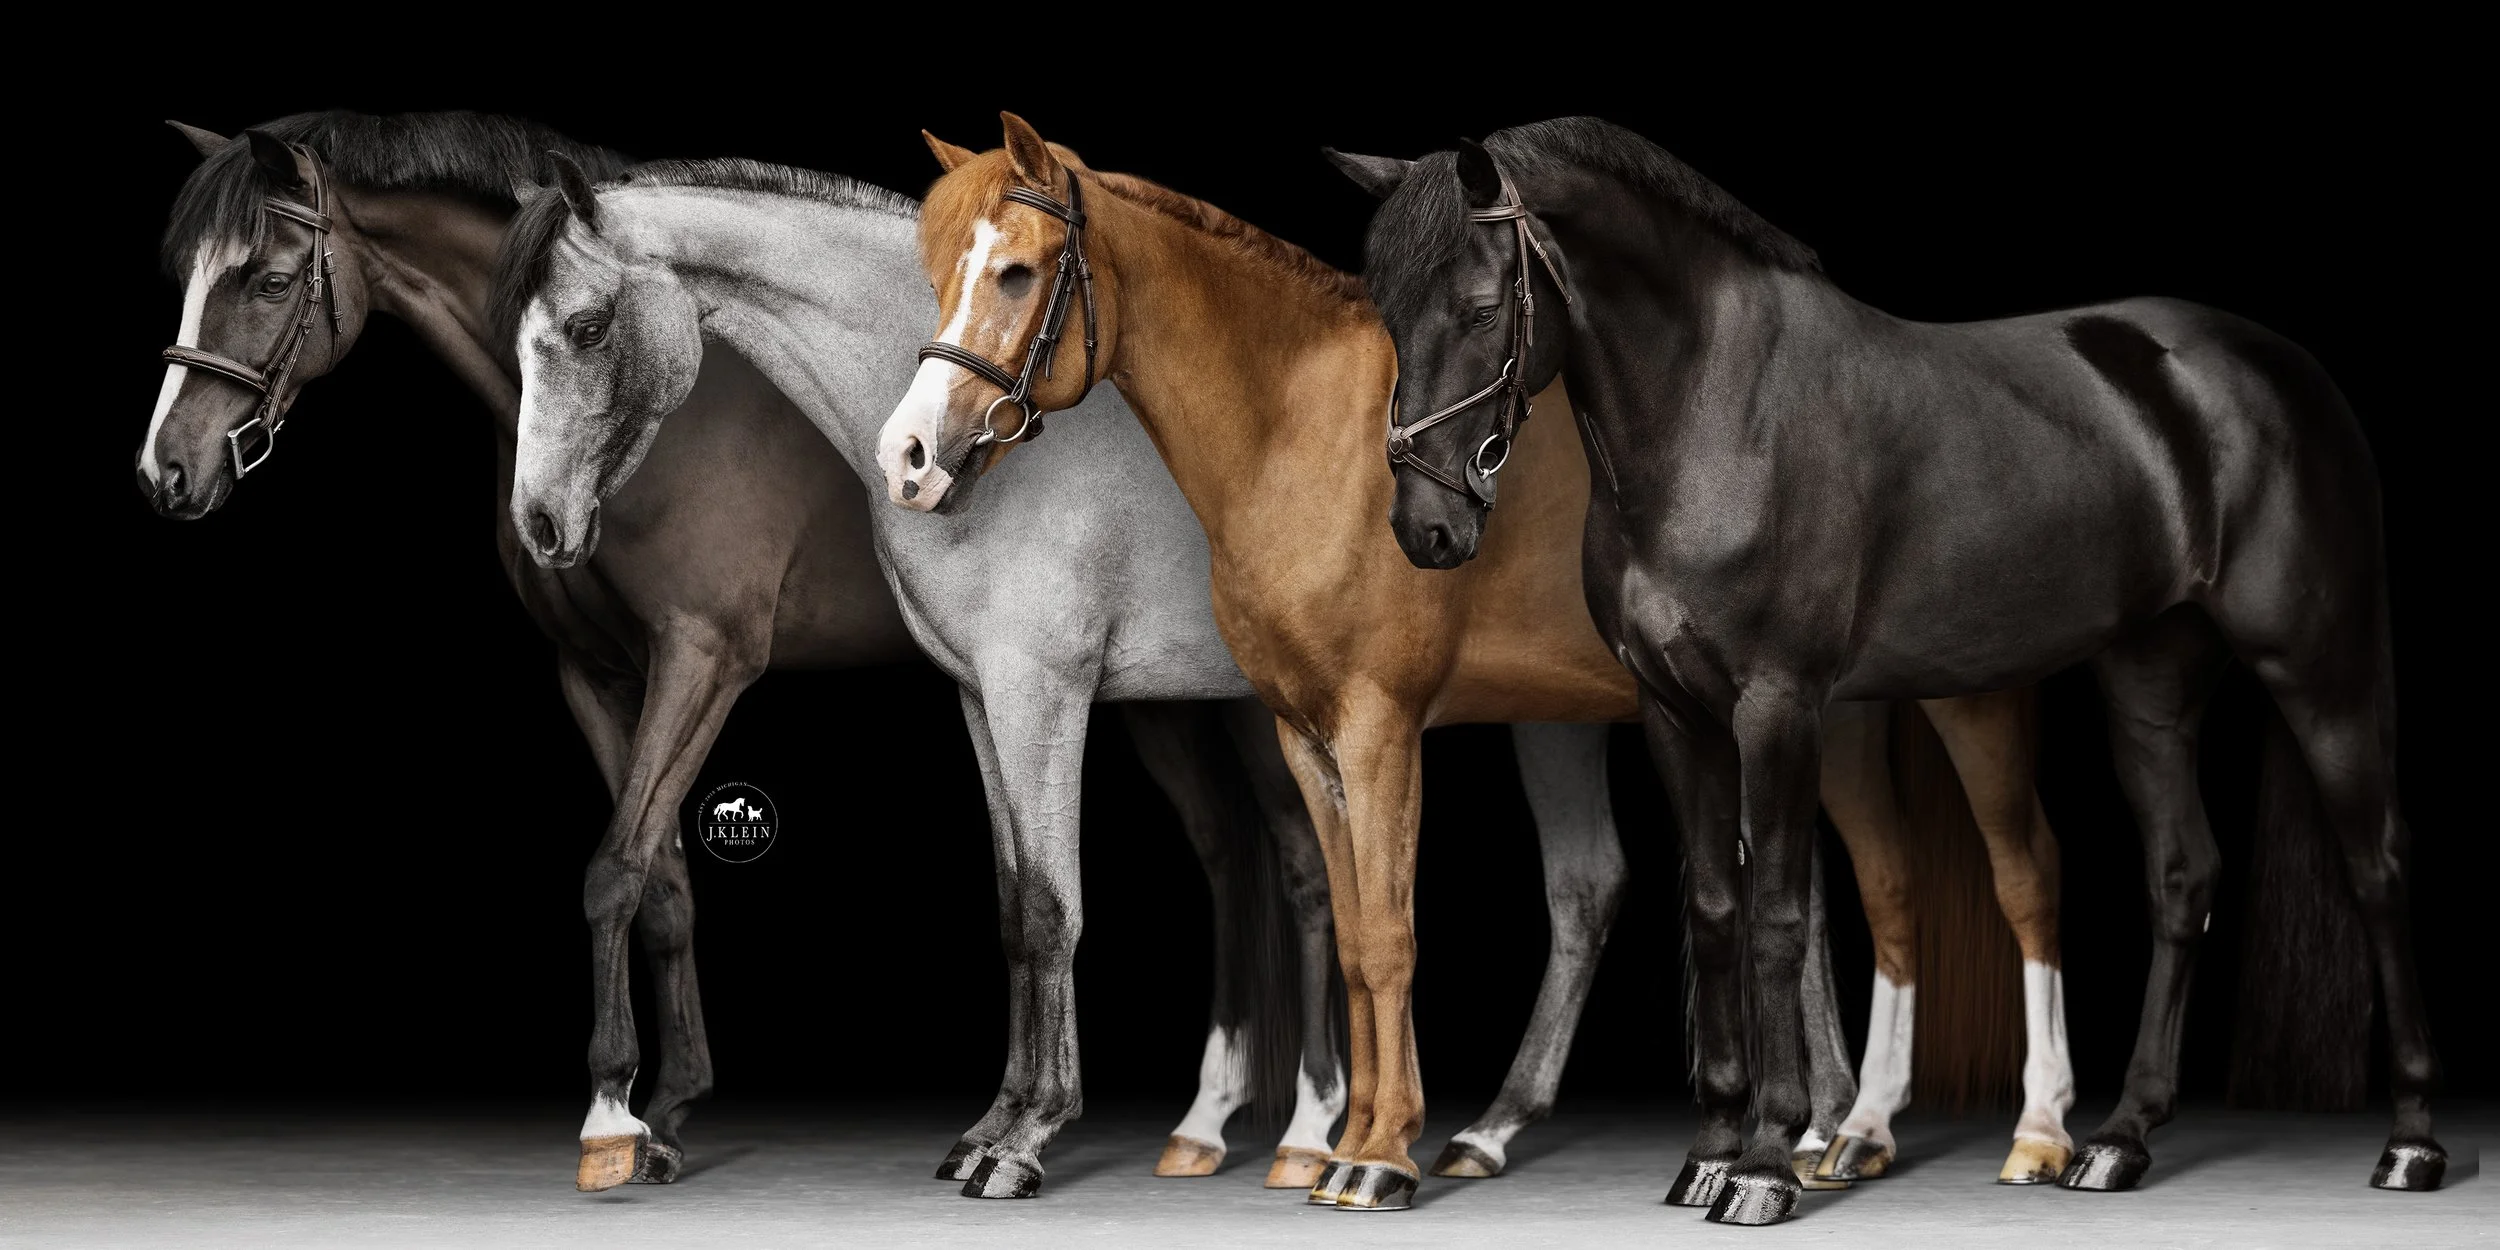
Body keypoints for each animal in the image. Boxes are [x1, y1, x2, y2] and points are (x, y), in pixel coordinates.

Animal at [138, 111, 1308, 1198]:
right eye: (188, 280)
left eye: (270, 278)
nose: (166, 471)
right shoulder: (597, 676)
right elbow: (660, 879)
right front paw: (665, 1104)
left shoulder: (708, 658)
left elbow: (613, 868)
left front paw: (611, 1119)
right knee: (1235, 854)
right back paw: (1218, 1125)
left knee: (1281, 857)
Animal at [487, 148, 1679, 1200]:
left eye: (586, 329)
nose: (541, 524)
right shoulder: (983, 697)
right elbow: (1018, 902)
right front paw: (993, 1123)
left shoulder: (1042, 693)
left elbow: (1055, 907)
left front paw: (1024, 1141)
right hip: (1537, 717)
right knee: (1564, 887)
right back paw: (1435, 1134)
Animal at [877, 114, 2078, 1209]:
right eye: (937, 273)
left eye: (1018, 271)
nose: (912, 457)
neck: (1295, 438)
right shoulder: (1304, 735)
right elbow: (1353, 934)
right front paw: (1346, 1143)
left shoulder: (1379, 729)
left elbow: (1389, 934)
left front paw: (1373, 1155)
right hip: (1819, 721)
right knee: (1842, 887)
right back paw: (1818, 1133)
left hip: (1935, 707)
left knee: (2000, 877)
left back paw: (1991, 1134)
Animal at [1337, 117, 2442, 1223]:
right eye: (1387, 311)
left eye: (1482, 308)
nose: (1426, 529)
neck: (1719, 412)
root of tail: (2281, 369)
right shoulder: (1673, 712)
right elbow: (1715, 908)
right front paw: (1709, 1152)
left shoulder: (1778, 707)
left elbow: (1780, 917)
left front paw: (1766, 1162)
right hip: (2148, 686)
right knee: (2181, 876)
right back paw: (2118, 1140)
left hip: (2318, 669)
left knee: (2380, 868)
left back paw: (2409, 1144)